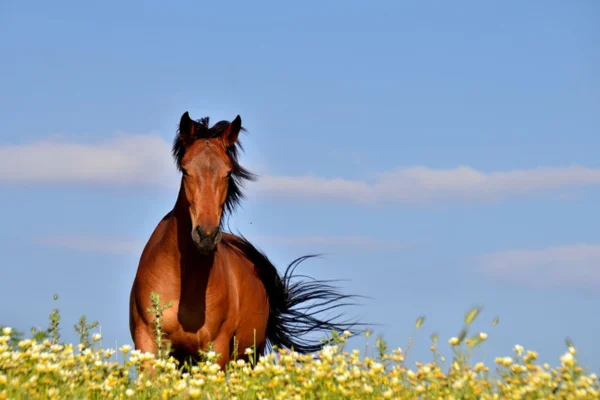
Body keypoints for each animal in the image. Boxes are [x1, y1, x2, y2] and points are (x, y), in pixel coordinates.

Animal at [127, 109, 360, 368]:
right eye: (186, 171)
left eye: (228, 172)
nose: (206, 235)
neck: (182, 282)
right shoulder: (148, 344)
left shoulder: (215, 349)